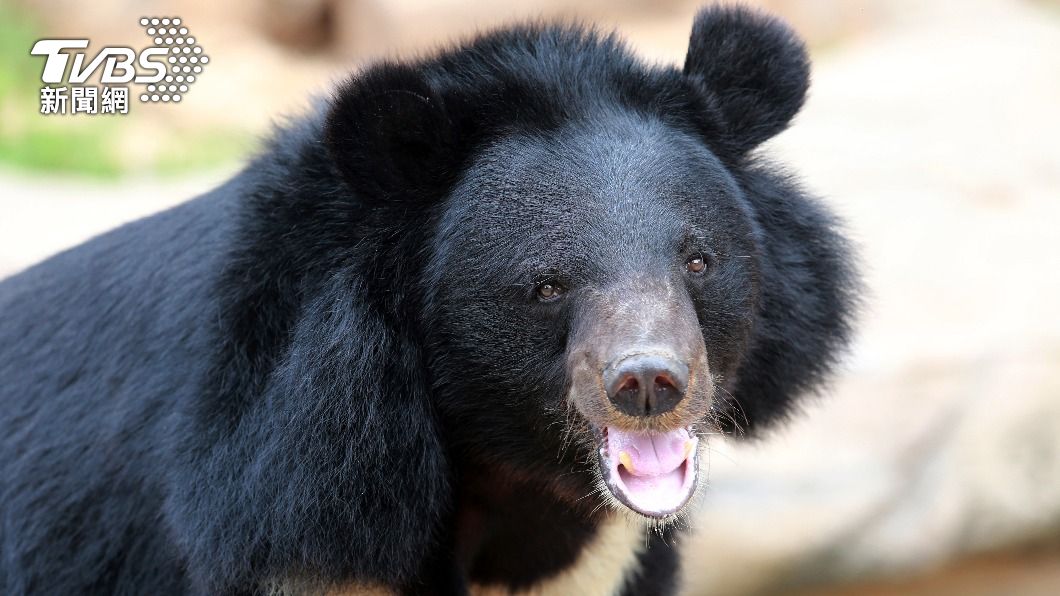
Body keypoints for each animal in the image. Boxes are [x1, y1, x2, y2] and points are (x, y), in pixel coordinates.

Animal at [0, 5, 856, 593]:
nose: (649, 383)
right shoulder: (289, 504)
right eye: (546, 285)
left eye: (699, 261)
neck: (513, 475)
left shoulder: (602, 561)